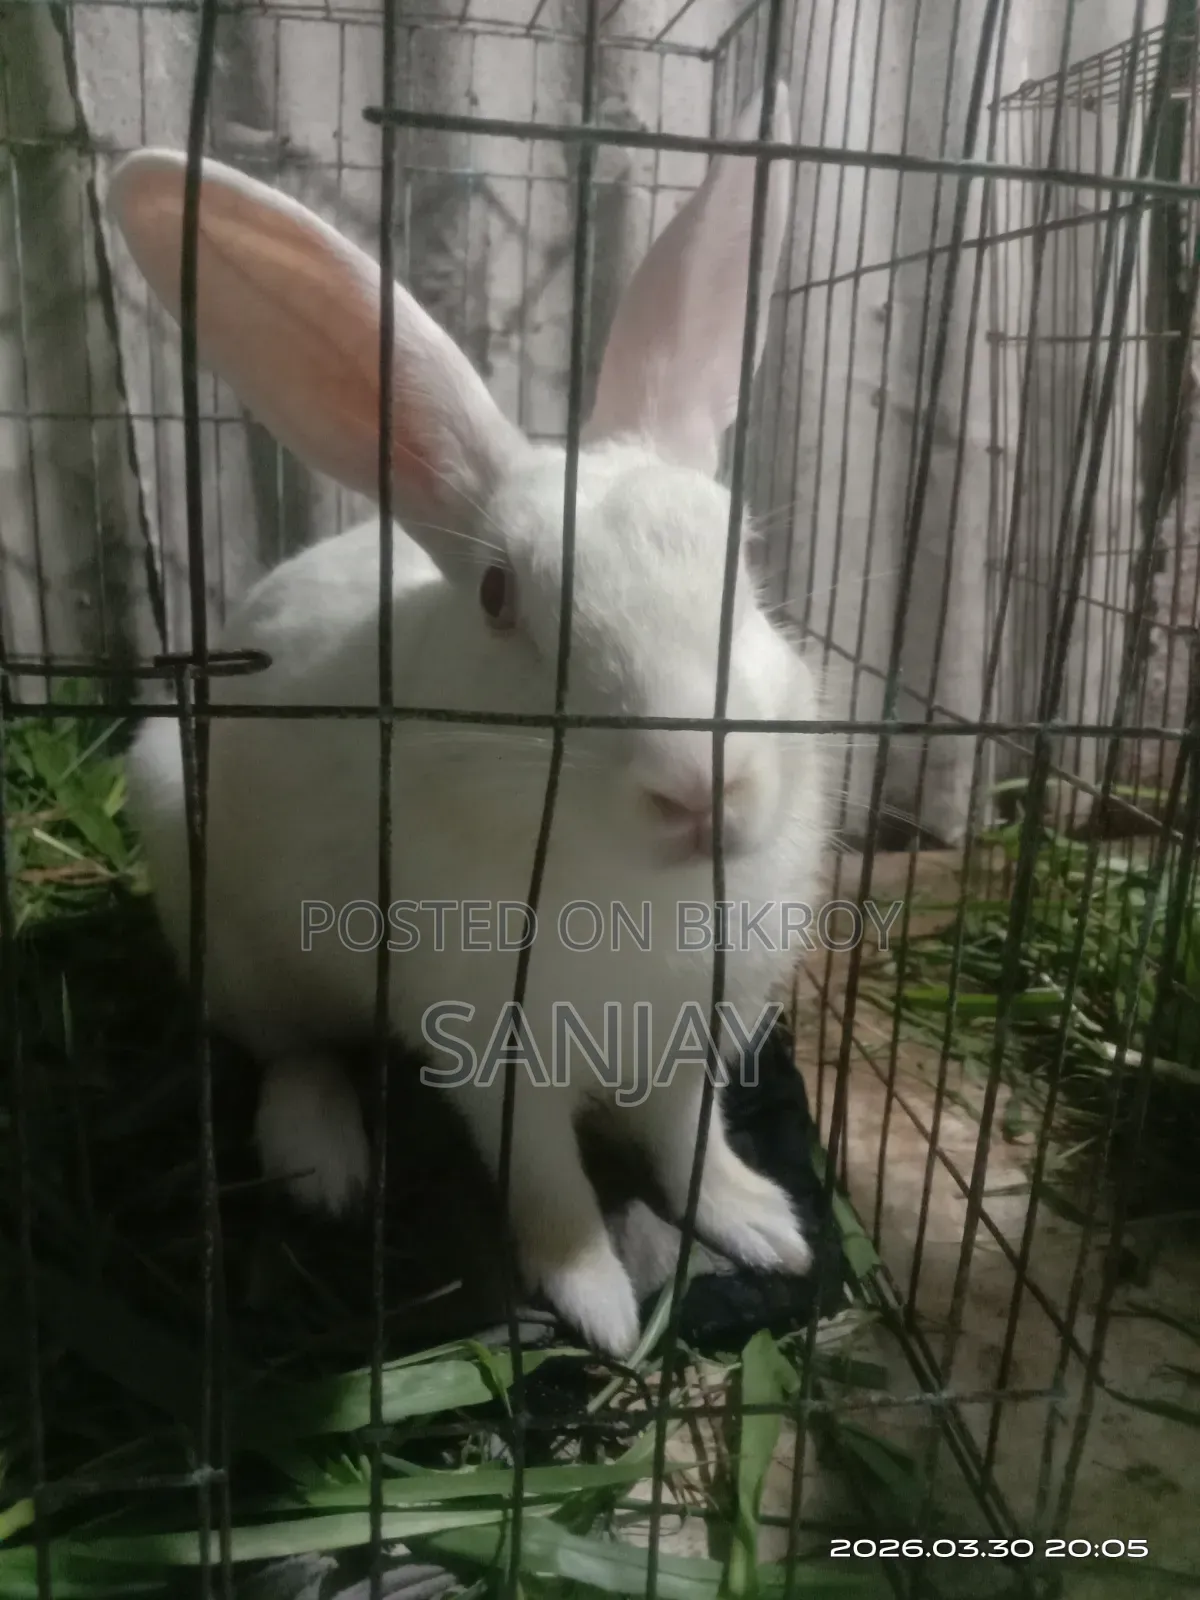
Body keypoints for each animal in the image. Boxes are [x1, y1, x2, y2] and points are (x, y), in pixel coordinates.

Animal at [106, 83, 830, 1360]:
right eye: (499, 596)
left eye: (739, 552)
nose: (701, 788)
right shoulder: (490, 1046)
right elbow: (546, 1177)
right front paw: (597, 1304)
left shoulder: (694, 1033)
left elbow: (690, 1141)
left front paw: (761, 1224)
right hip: (235, 939)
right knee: (291, 1052)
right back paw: (323, 1165)